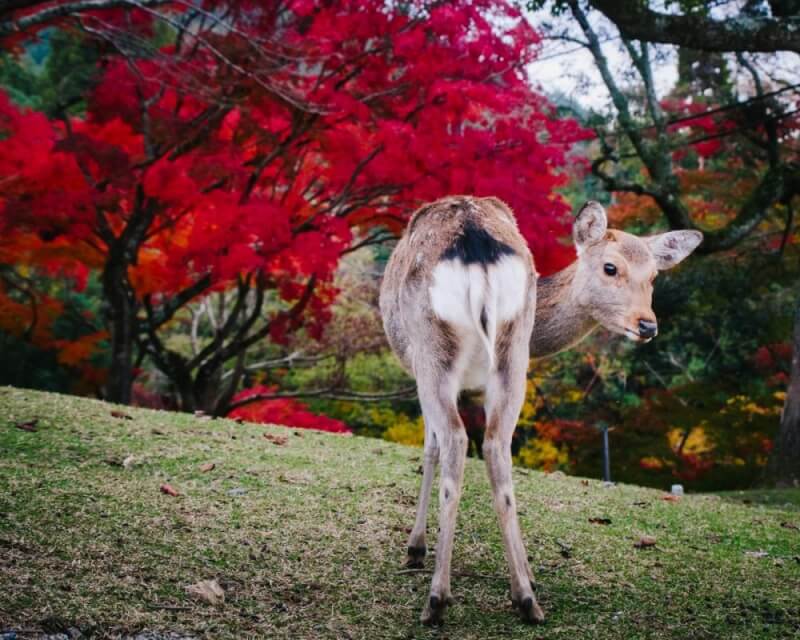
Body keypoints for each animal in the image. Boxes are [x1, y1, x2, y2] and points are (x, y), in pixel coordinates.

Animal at [380, 196, 700, 624]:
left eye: (652, 276)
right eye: (610, 267)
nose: (647, 325)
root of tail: (475, 244)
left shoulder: (417, 369)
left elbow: (429, 448)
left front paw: (415, 548)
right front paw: (528, 574)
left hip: (433, 351)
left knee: (455, 443)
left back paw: (437, 599)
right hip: (513, 356)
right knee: (497, 448)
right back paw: (526, 597)